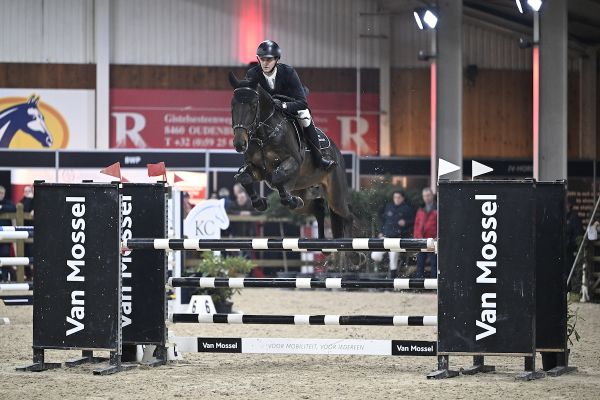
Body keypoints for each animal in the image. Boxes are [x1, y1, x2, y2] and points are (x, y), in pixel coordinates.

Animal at [229, 72, 352, 239]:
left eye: (254, 106)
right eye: (232, 105)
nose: (239, 143)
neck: (264, 135)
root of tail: (337, 151)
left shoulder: (293, 162)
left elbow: (278, 175)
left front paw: (289, 199)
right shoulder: (257, 169)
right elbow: (244, 178)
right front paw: (260, 203)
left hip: (336, 196)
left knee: (348, 215)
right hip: (303, 192)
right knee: (317, 209)